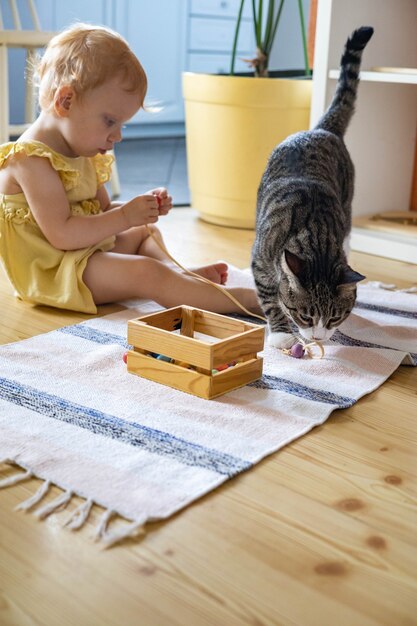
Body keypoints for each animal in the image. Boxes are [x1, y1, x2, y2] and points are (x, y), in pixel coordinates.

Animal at [250, 26, 374, 346]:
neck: (316, 234)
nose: (318, 338)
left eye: (335, 318)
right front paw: (282, 334)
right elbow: (270, 298)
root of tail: (321, 129)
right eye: (305, 316)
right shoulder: (260, 261)